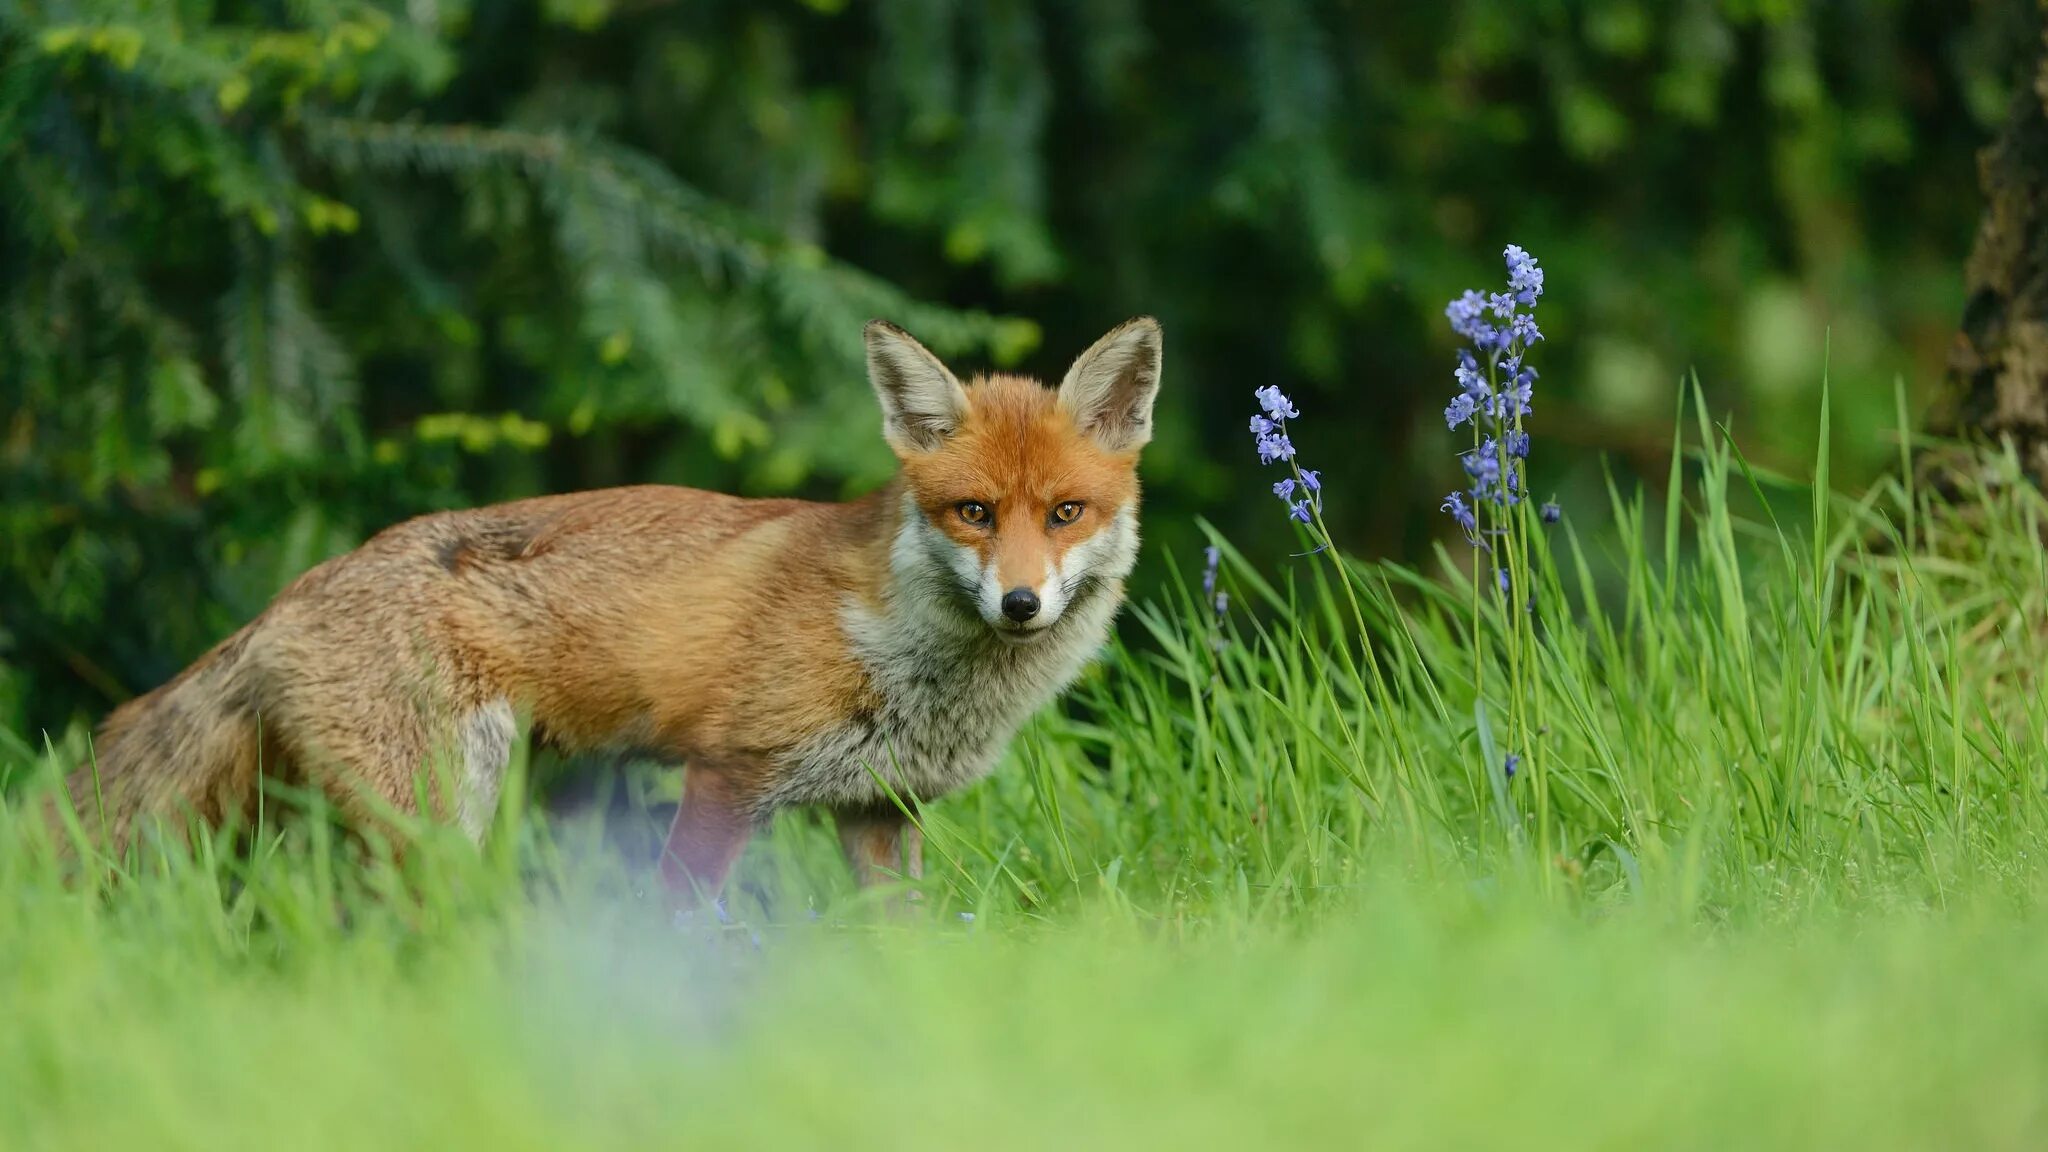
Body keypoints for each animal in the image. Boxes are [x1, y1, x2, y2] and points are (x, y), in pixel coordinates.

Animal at [48, 315, 1163, 906]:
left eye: (1064, 513)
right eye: (973, 512)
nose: (1019, 602)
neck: (902, 659)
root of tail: (291, 594)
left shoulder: (879, 809)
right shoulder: (728, 777)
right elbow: (678, 925)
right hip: (438, 817)